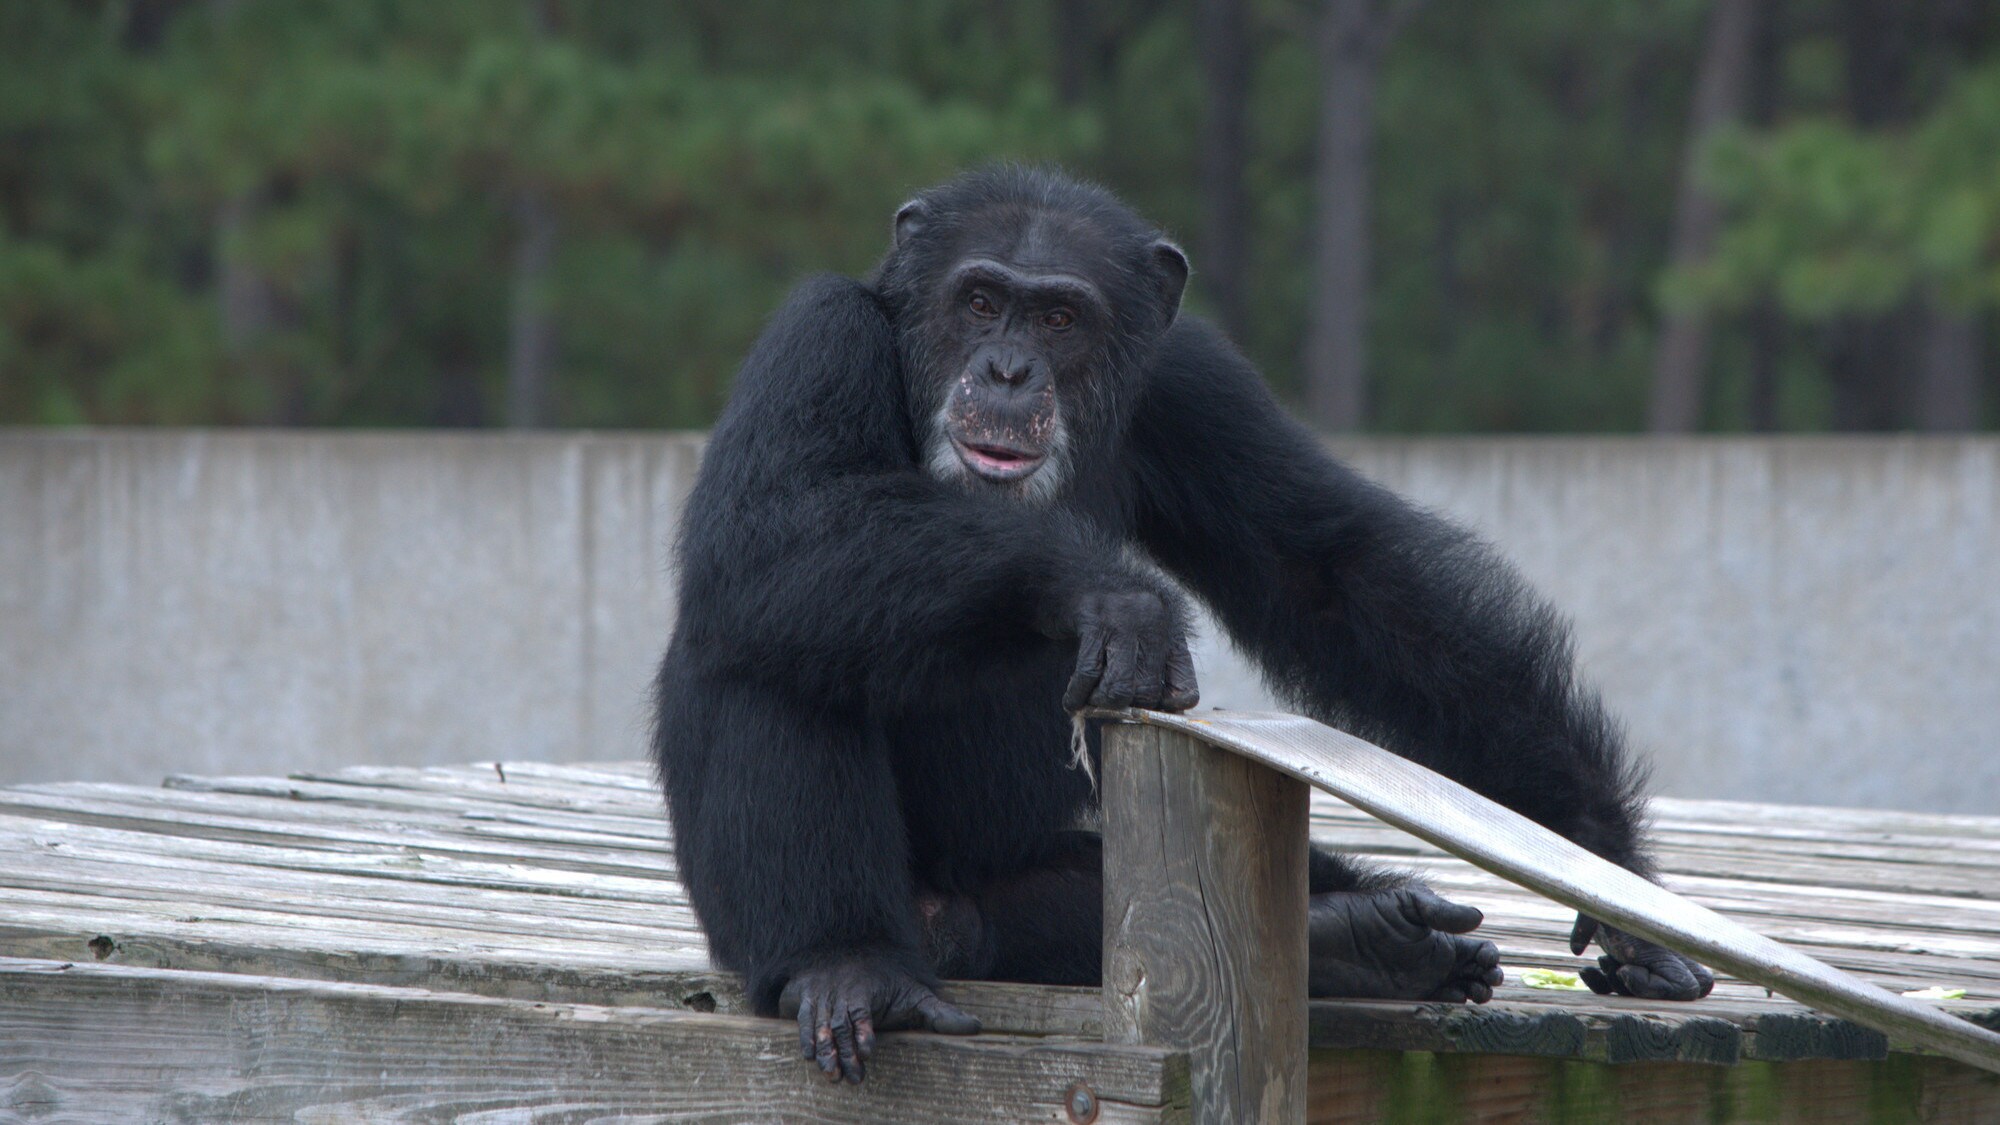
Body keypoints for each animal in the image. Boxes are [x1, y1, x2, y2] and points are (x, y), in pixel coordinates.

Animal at [648, 164, 1712, 1080]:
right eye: (981, 301)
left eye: (1061, 315)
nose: (1007, 368)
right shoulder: (815, 336)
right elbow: (769, 526)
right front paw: (1110, 595)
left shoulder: (1196, 383)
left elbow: (1334, 571)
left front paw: (1610, 864)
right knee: (768, 633)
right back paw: (848, 961)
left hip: (1018, 887)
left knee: (1045, 911)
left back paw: (1363, 935)